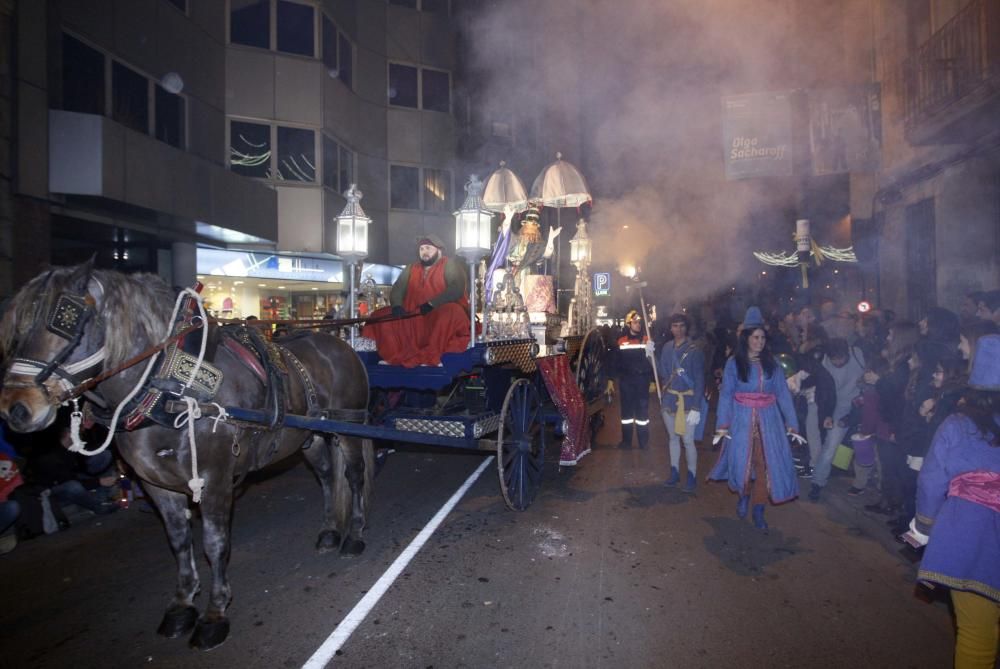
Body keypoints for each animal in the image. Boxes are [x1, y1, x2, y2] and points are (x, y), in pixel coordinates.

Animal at [0, 260, 374, 648]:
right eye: (16, 327)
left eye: (66, 319)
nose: (17, 408)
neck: (169, 389)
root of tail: (339, 343)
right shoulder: (156, 484)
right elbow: (179, 539)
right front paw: (182, 605)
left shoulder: (215, 477)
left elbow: (214, 542)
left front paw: (214, 613)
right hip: (308, 437)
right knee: (328, 477)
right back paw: (330, 531)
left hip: (350, 427)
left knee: (354, 476)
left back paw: (354, 535)